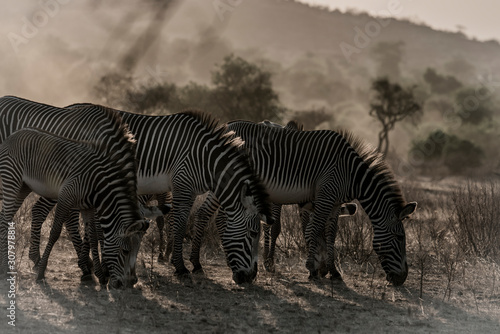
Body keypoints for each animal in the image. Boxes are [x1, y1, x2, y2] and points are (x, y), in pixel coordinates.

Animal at [0, 118, 146, 288]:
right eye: (125, 251)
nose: (128, 284)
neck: (99, 185)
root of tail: (13, 135)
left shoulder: (88, 207)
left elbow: (93, 236)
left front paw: (100, 275)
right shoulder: (65, 197)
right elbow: (55, 232)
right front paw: (41, 272)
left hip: (23, 188)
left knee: (4, 217)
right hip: (12, 181)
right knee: (5, 220)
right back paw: (5, 268)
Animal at [23, 101, 272, 282]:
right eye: (253, 234)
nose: (251, 278)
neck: (206, 159)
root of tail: (66, 109)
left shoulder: (184, 191)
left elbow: (174, 223)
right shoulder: (183, 186)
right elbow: (179, 224)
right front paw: (180, 266)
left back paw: (81, 266)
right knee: (44, 212)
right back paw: (46, 261)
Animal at [190, 122, 414, 284]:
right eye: (400, 237)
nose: (402, 279)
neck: (352, 174)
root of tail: (227, 125)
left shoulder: (334, 204)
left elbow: (330, 234)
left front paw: (333, 271)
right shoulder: (325, 196)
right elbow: (313, 229)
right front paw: (312, 269)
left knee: (206, 214)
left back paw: (198, 263)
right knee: (213, 216)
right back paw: (203, 263)